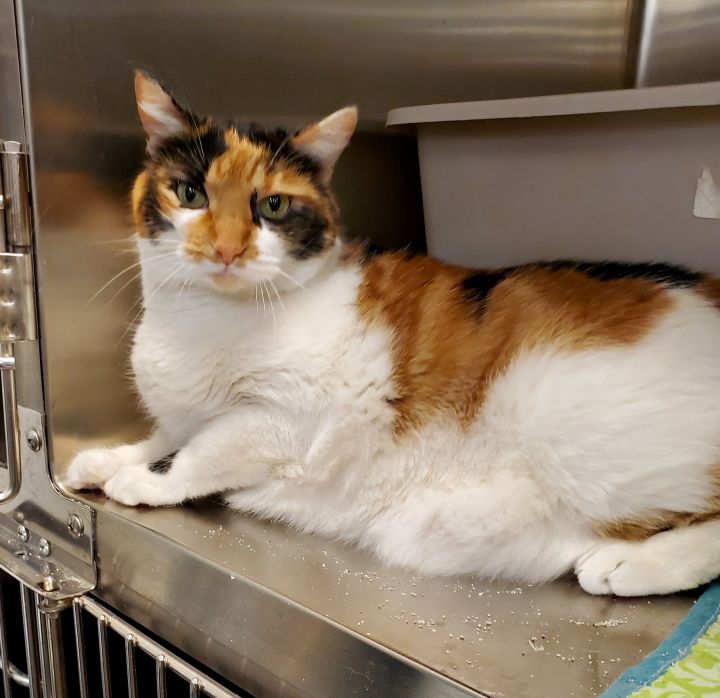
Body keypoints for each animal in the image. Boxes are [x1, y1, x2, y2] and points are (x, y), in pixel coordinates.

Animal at [66, 71, 720, 596]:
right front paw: (112, 458)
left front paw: (146, 482)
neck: (199, 321)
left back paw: (631, 566)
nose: (227, 249)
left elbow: (202, 452)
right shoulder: (182, 413)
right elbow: (166, 435)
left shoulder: (284, 418)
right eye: (191, 192)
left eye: (272, 207)